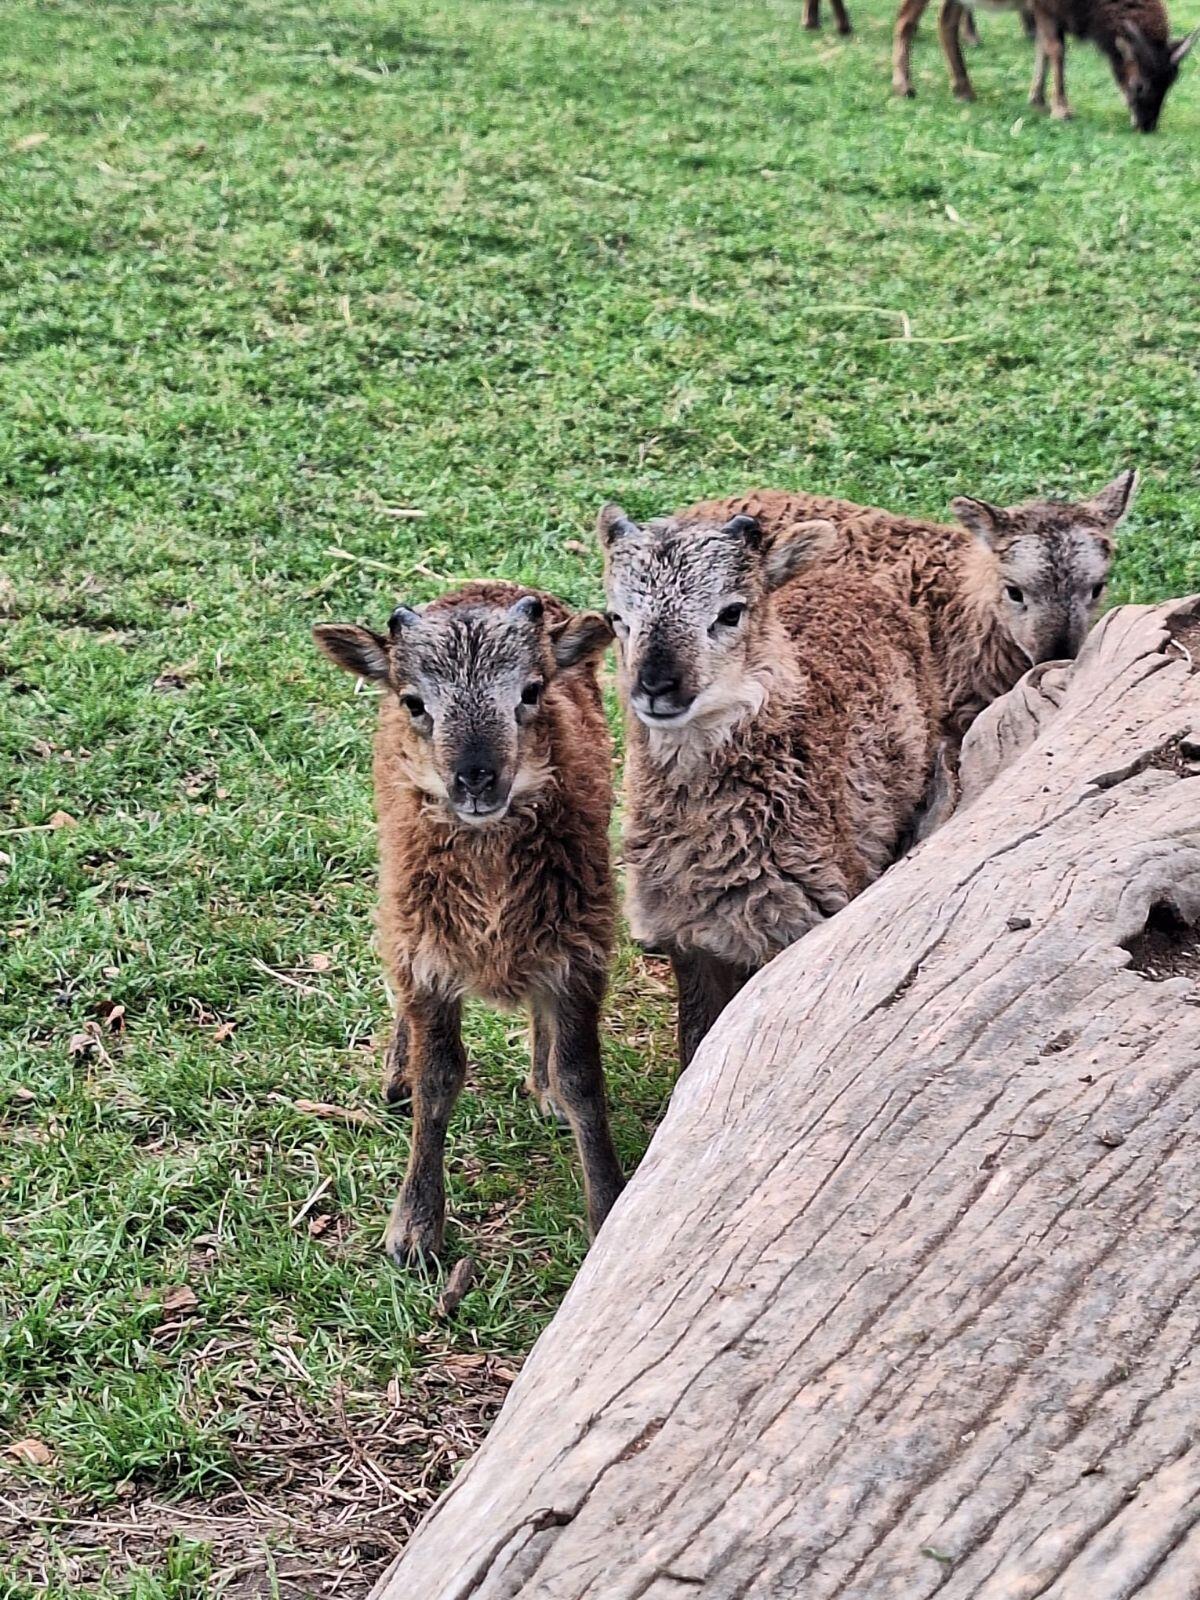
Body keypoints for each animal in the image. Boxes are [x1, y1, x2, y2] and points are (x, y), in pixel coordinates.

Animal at [314, 581, 624, 1267]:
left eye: (532, 690)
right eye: (413, 701)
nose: (476, 778)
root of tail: (481, 588)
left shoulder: (580, 949)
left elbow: (582, 1080)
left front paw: (608, 1208)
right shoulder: (425, 954)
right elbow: (439, 1080)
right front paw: (414, 1231)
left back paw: (540, 1083)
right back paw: (396, 1073)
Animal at [599, 505, 944, 1070]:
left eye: (731, 612)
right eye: (616, 618)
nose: (655, 686)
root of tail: (848, 578)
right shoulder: (688, 937)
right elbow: (698, 1039)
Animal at [893, 0, 1195, 126]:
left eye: (1170, 83)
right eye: (1140, 85)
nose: (1147, 125)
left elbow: (1043, 48)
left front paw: (1037, 99)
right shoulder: (1045, 6)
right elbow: (1056, 49)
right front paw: (1062, 109)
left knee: (946, 23)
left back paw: (964, 90)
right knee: (906, 21)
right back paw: (904, 86)